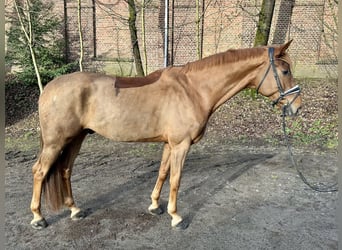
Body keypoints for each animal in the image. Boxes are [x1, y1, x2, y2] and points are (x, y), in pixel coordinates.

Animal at [30, 41, 300, 230]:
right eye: (285, 70)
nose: (296, 107)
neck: (193, 90)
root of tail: (49, 88)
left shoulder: (169, 144)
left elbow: (162, 173)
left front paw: (154, 206)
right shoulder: (181, 145)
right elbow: (176, 180)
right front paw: (176, 217)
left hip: (76, 139)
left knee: (65, 170)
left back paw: (75, 210)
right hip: (55, 142)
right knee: (40, 172)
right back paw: (38, 217)